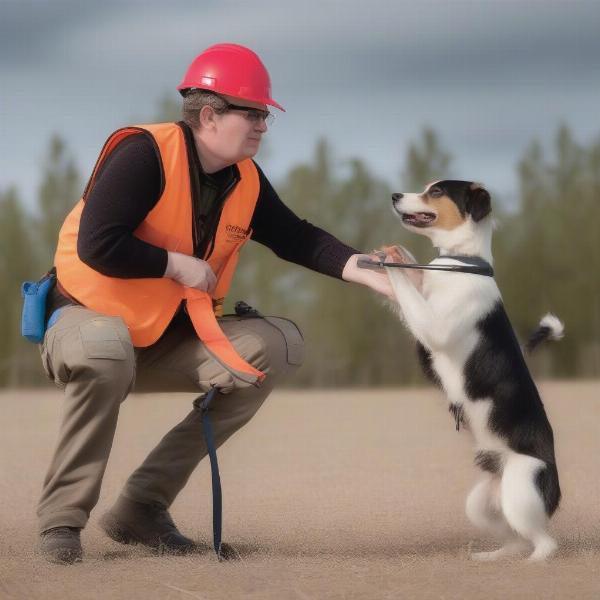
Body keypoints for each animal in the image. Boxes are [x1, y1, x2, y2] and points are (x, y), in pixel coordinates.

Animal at [384, 180, 564, 560]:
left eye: (436, 191)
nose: (395, 195)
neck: (461, 263)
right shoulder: (423, 325)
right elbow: (411, 291)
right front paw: (404, 257)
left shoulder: (433, 327)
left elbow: (405, 289)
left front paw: (391, 262)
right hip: (482, 505)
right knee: (514, 540)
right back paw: (491, 557)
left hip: (519, 493)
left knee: (544, 543)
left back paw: (533, 563)